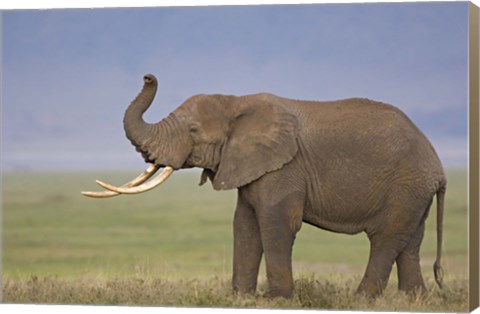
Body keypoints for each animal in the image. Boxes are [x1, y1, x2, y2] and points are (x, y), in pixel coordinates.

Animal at [82, 73, 446, 300]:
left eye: (194, 131)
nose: (148, 76)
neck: (236, 102)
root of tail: (438, 166)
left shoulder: (285, 167)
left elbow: (276, 222)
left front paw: (279, 300)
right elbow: (244, 224)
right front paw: (240, 298)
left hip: (406, 185)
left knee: (385, 238)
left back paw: (361, 300)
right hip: (414, 191)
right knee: (410, 241)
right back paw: (415, 300)